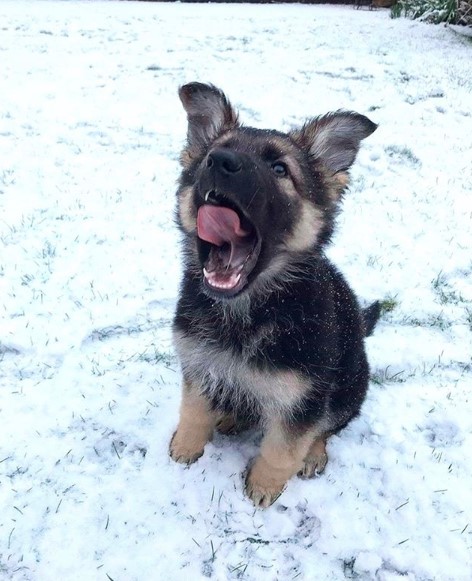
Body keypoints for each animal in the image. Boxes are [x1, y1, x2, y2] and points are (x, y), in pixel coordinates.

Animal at [170, 82, 380, 508]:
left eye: (280, 169)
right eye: (214, 153)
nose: (218, 161)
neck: (250, 310)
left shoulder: (304, 399)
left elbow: (284, 447)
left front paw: (263, 487)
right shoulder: (198, 364)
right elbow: (194, 409)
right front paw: (186, 447)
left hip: (348, 386)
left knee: (327, 428)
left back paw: (313, 455)